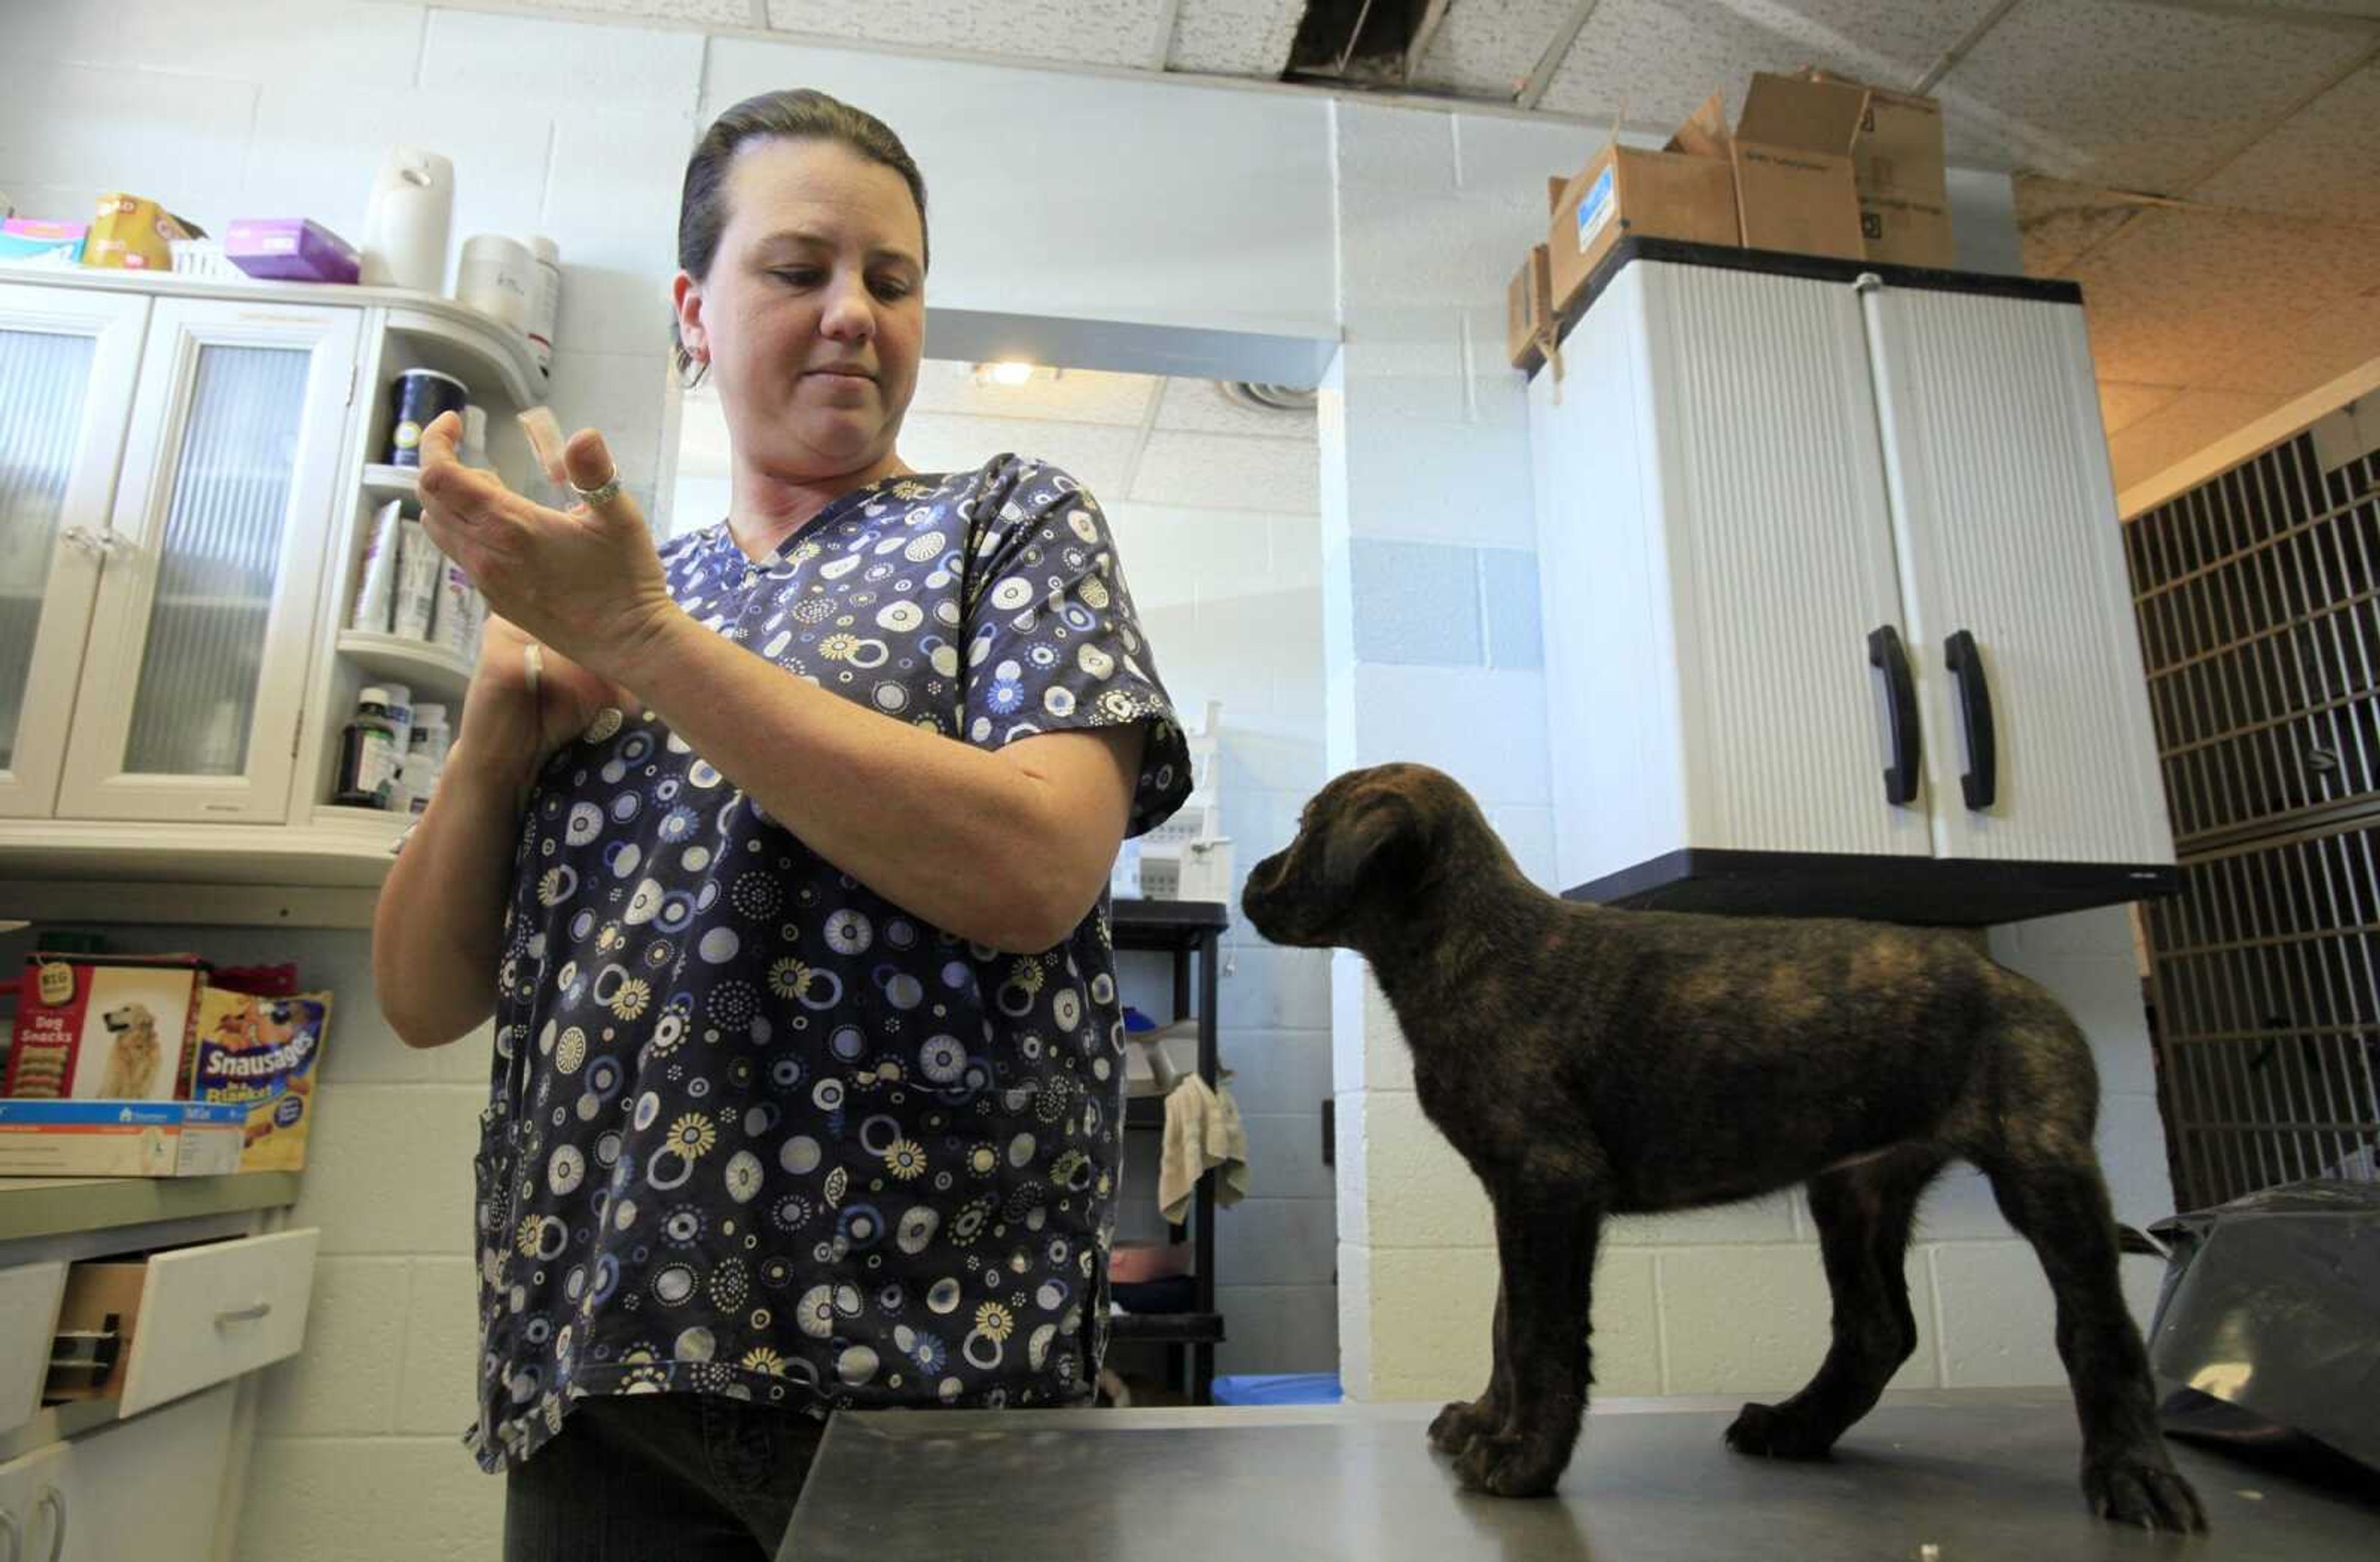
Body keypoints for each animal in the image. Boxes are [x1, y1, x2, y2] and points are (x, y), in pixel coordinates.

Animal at [1247, 762, 2208, 1533]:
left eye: (1303, 826)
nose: (1253, 877)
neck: (1467, 941)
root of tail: (2008, 979)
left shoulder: (1549, 1186)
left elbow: (1541, 1335)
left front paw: (1524, 1459)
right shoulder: (1520, 1198)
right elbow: (1505, 1322)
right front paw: (1488, 1422)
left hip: (2044, 1169)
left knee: (2097, 1327)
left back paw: (2132, 1474)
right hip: (1855, 1190)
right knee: (1878, 1329)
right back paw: (1795, 1426)